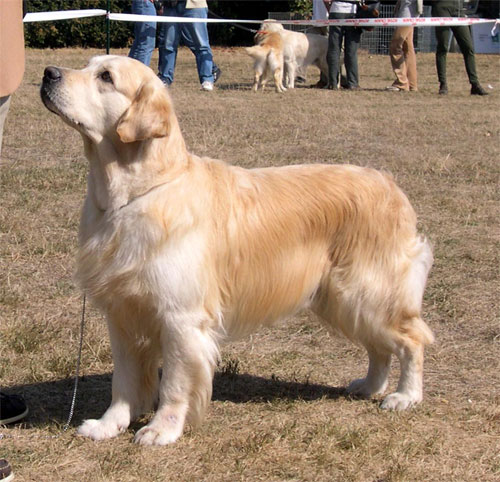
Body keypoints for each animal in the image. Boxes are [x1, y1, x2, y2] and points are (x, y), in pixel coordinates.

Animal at [40, 54, 434, 446]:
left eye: (106, 77)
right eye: (88, 65)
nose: (48, 74)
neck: (133, 195)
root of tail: (390, 183)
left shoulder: (181, 317)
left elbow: (176, 384)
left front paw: (162, 429)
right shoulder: (122, 313)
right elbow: (123, 381)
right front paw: (109, 424)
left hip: (365, 291)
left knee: (412, 339)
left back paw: (405, 396)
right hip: (341, 298)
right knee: (380, 345)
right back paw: (369, 386)